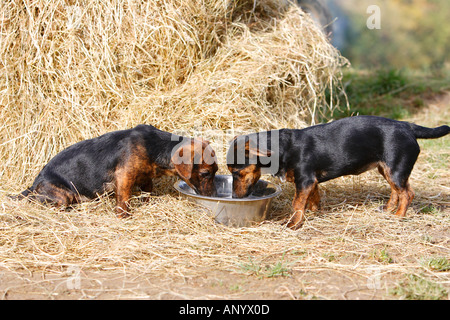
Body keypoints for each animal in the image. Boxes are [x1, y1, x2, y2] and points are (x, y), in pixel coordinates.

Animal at [14, 124, 218, 216]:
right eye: (205, 174)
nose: (214, 196)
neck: (154, 146)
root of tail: (33, 186)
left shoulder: (145, 178)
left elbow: (147, 192)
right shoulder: (124, 177)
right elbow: (124, 200)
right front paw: (124, 217)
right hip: (62, 196)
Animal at [229, 116, 450, 229]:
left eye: (237, 172)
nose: (235, 197)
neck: (284, 147)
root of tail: (408, 126)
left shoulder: (305, 180)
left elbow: (297, 204)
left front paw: (293, 223)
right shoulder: (312, 182)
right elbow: (313, 199)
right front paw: (314, 213)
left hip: (395, 169)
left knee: (407, 193)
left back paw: (398, 217)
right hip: (386, 169)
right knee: (397, 192)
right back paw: (388, 211)